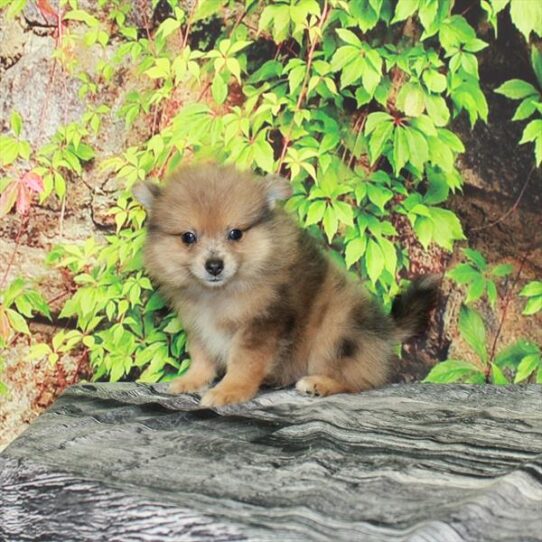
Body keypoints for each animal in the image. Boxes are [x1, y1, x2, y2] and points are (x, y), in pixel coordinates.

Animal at [134, 166, 440, 408]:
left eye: (235, 234)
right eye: (188, 237)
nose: (214, 265)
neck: (220, 294)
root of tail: (386, 329)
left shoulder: (263, 323)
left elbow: (243, 364)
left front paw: (228, 391)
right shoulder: (198, 326)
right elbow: (202, 357)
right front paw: (191, 380)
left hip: (338, 330)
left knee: (360, 380)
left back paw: (320, 384)